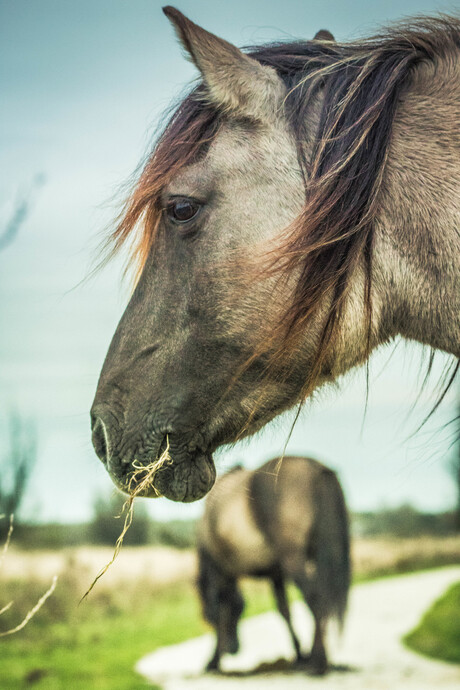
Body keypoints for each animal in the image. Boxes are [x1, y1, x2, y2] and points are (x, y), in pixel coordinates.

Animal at [194, 454, 348, 676]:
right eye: (240, 610)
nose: (233, 649)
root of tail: (315, 468)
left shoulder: (219, 571)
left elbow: (220, 610)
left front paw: (213, 661)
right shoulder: (276, 575)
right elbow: (284, 611)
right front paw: (299, 655)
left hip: (295, 560)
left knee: (316, 597)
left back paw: (318, 661)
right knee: (325, 598)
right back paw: (315, 657)